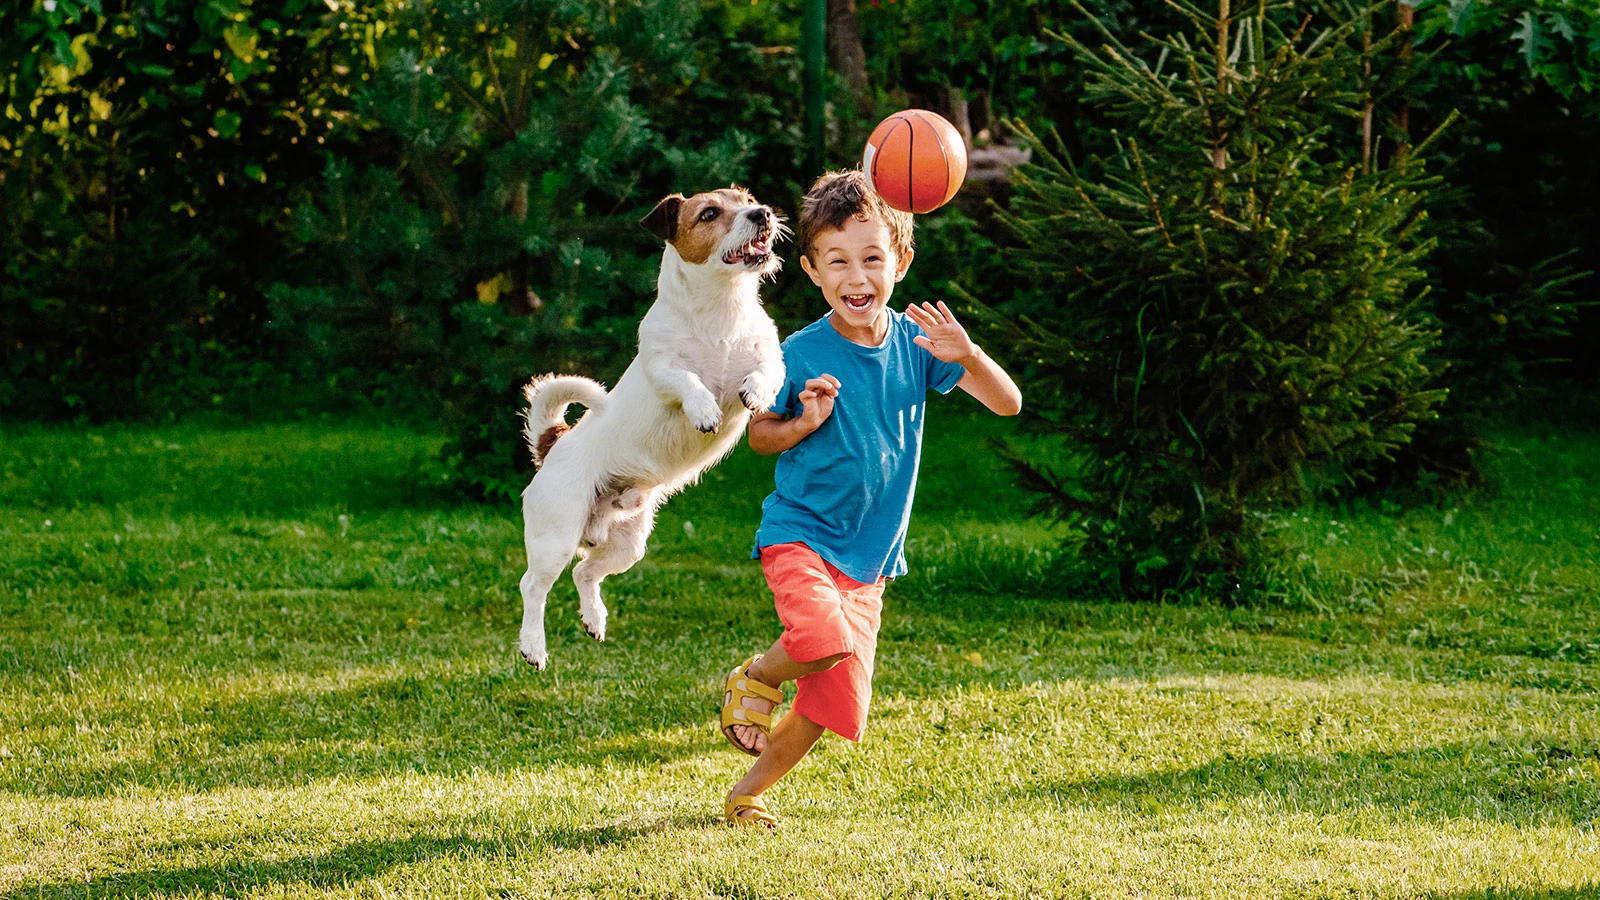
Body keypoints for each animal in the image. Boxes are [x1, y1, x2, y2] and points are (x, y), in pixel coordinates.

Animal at [515, 187, 784, 666]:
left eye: (746, 198)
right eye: (710, 213)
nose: (763, 213)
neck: (721, 310)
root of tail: (553, 445)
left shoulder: (771, 359)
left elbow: (764, 373)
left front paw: (753, 393)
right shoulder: (663, 369)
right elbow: (688, 381)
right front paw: (703, 409)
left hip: (628, 544)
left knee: (586, 572)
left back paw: (594, 619)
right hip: (556, 536)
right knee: (534, 587)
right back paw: (533, 645)